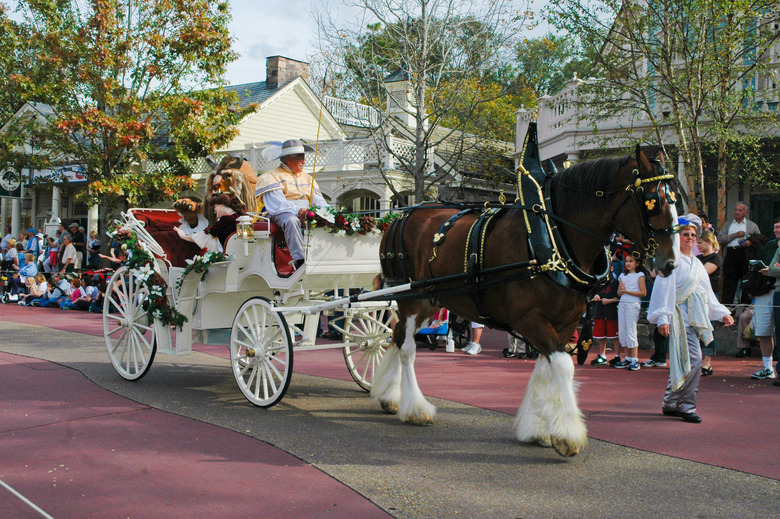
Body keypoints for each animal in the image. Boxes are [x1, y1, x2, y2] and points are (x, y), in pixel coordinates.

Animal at [370, 145, 676, 456]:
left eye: (675, 199)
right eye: (654, 201)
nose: (670, 263)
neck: (552, 237)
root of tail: (399, 217)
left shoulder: (563, 323)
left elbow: (545, 367)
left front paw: (539, 428)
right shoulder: (530, 319)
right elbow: (563, 366)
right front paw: (568, 434)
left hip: (429, 299)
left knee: (397, 336)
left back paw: (389, 396)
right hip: (409, 298)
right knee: (407, 348)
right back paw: (414, 408)